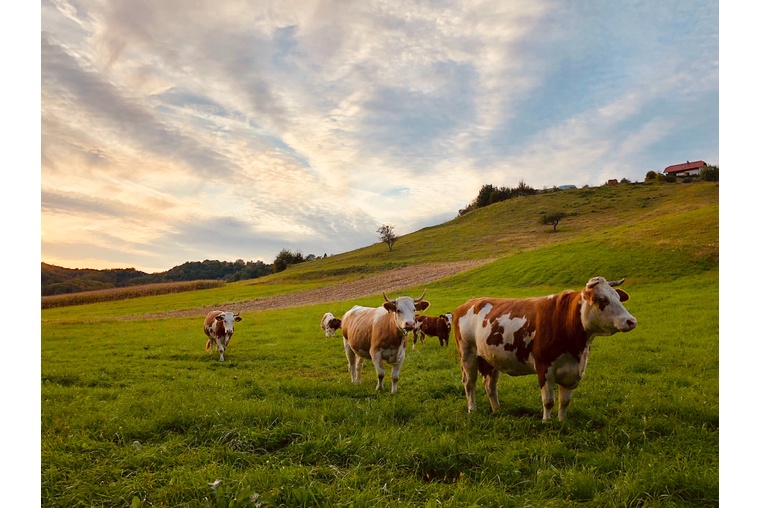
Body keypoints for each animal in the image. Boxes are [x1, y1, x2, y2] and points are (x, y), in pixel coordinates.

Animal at [454, 276, 640, 422]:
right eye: (602, 299)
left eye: (618, 297)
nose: (631, 321)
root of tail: (470, 302)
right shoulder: (544, 368)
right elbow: (548, 400)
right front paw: (547, 422)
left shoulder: (573, 370)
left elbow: (564, 401)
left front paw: (562, 421)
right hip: (468, 354)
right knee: (469, 383)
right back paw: (472, 409)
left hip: (490, 358)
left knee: (490, 385)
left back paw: (497, 410)